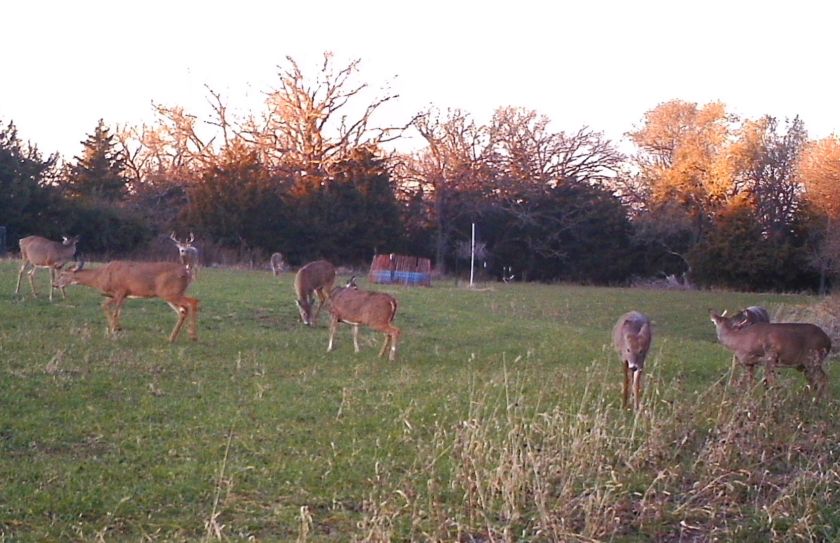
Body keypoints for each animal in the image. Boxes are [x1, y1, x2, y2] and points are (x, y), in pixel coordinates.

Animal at [55, 262, 200, 342]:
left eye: (62, 274)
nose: (54, 285)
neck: (100, 276)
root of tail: (187, 272)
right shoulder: (119, 295)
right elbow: (107, 307)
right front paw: (117, 328)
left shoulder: (120, 291)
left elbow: (114, 311)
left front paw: (114, 330)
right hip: (170, 295)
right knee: (182, 311)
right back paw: (172, 338)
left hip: (170, 293)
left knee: (193, 302)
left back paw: (193, 337)